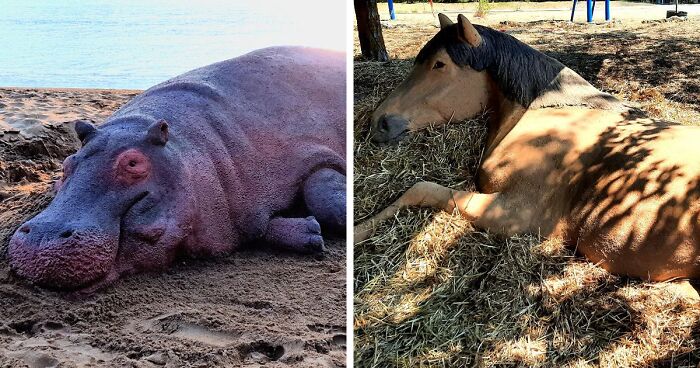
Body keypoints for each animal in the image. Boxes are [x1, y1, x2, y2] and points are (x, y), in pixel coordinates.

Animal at [356, 13, 700, 282]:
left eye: (439, 64)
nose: (378, 122)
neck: (546, 111)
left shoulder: (514, 213)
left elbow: (419, 188)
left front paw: (360, 229)